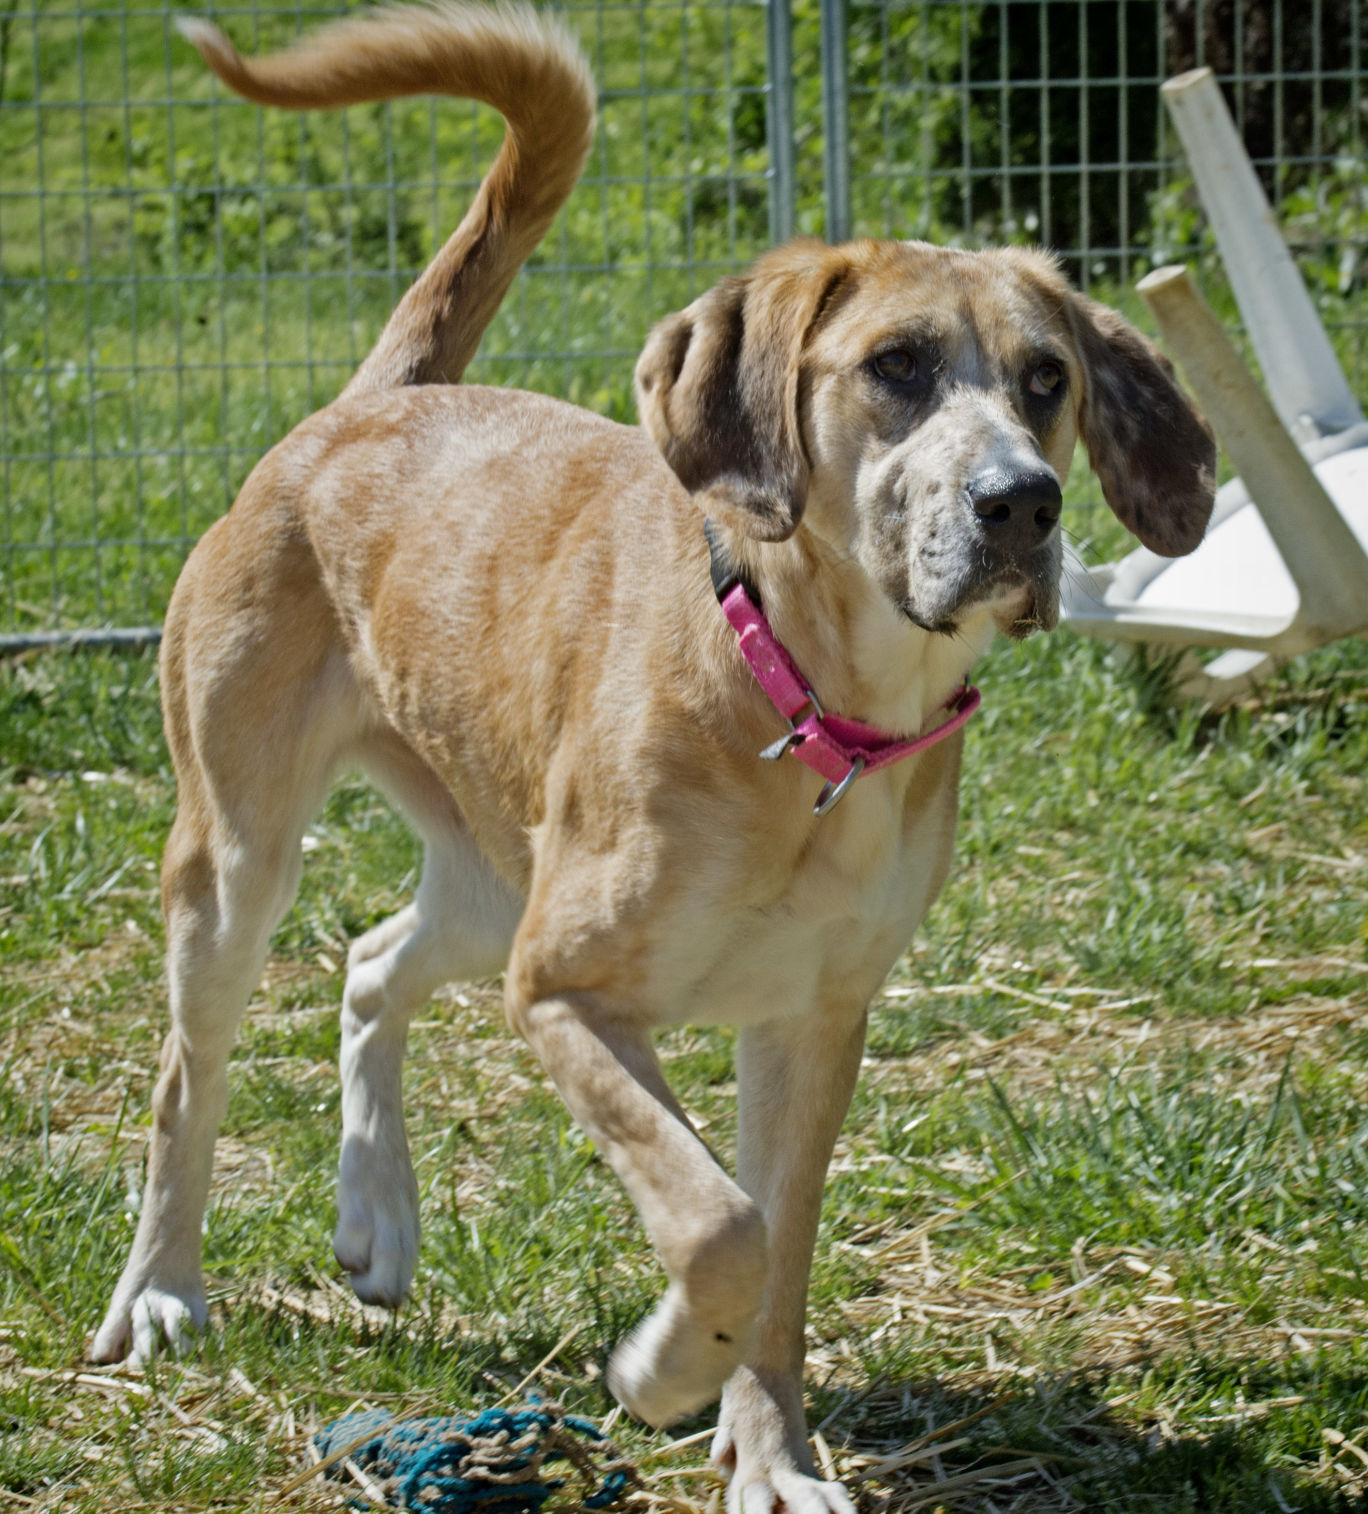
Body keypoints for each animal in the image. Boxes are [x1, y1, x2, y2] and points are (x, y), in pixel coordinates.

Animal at [88, 5, 1216, 1507]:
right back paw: (163, 1288)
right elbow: (720, 1223)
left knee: (373, 964)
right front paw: (663, 1365)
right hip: (243, 861)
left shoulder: (811, 1020)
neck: (810, 709)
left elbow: (778, 1250)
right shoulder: (568, 991)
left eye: (1049, 381)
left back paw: (378, 1213)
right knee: (185, 1075)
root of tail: (373, 404)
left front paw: (770, 1450)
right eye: (897, 366)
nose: (1021, 502)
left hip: (490, 878)